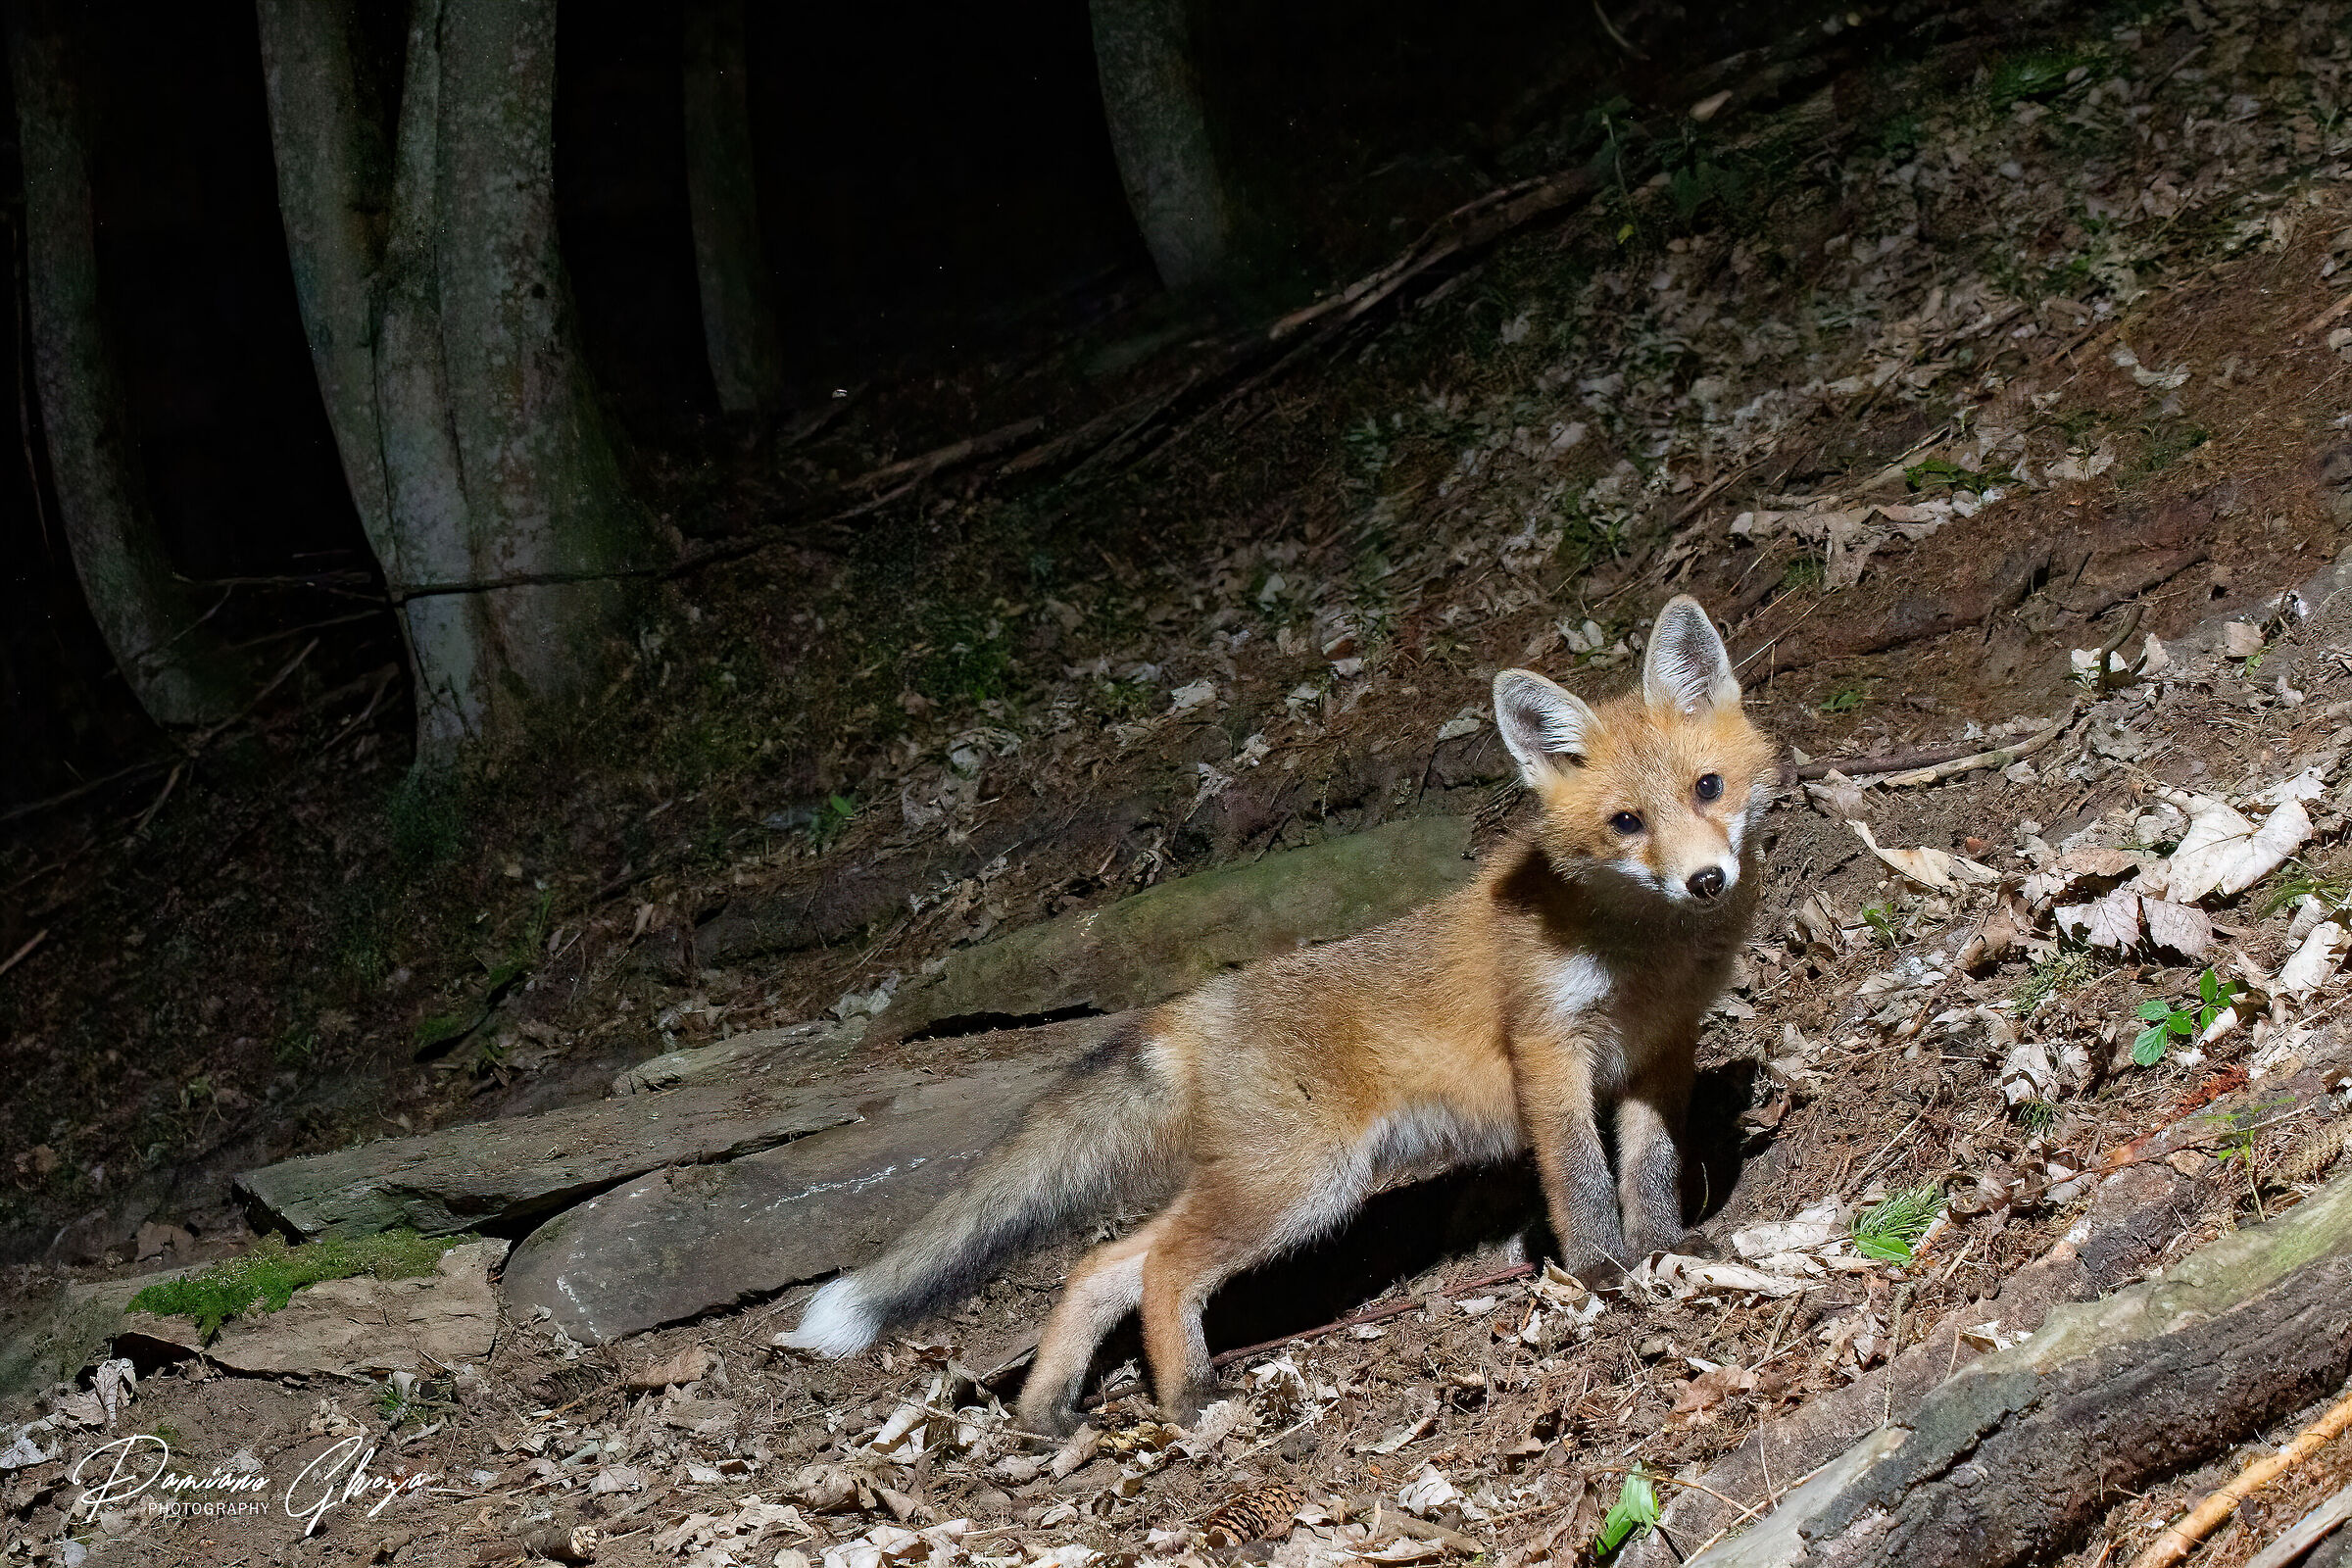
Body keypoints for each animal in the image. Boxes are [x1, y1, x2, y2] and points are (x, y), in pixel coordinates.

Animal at [778, 595, 1777, 1436]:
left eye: (1708, 788)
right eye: (1625, 824)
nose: (1706, 879)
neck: (1643, 957)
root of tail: (1188, 1009)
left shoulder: (1660, 1049)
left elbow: (1649, 1166)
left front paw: (1667, 1249)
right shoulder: (1547, 1049)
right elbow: (1580, 1178)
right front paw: (1604, 1273)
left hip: (1267, 1183)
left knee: (1104, 1266)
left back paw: (1045, 1410)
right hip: (1304, 1184)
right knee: (1164, 1269)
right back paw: (1189, 1400)